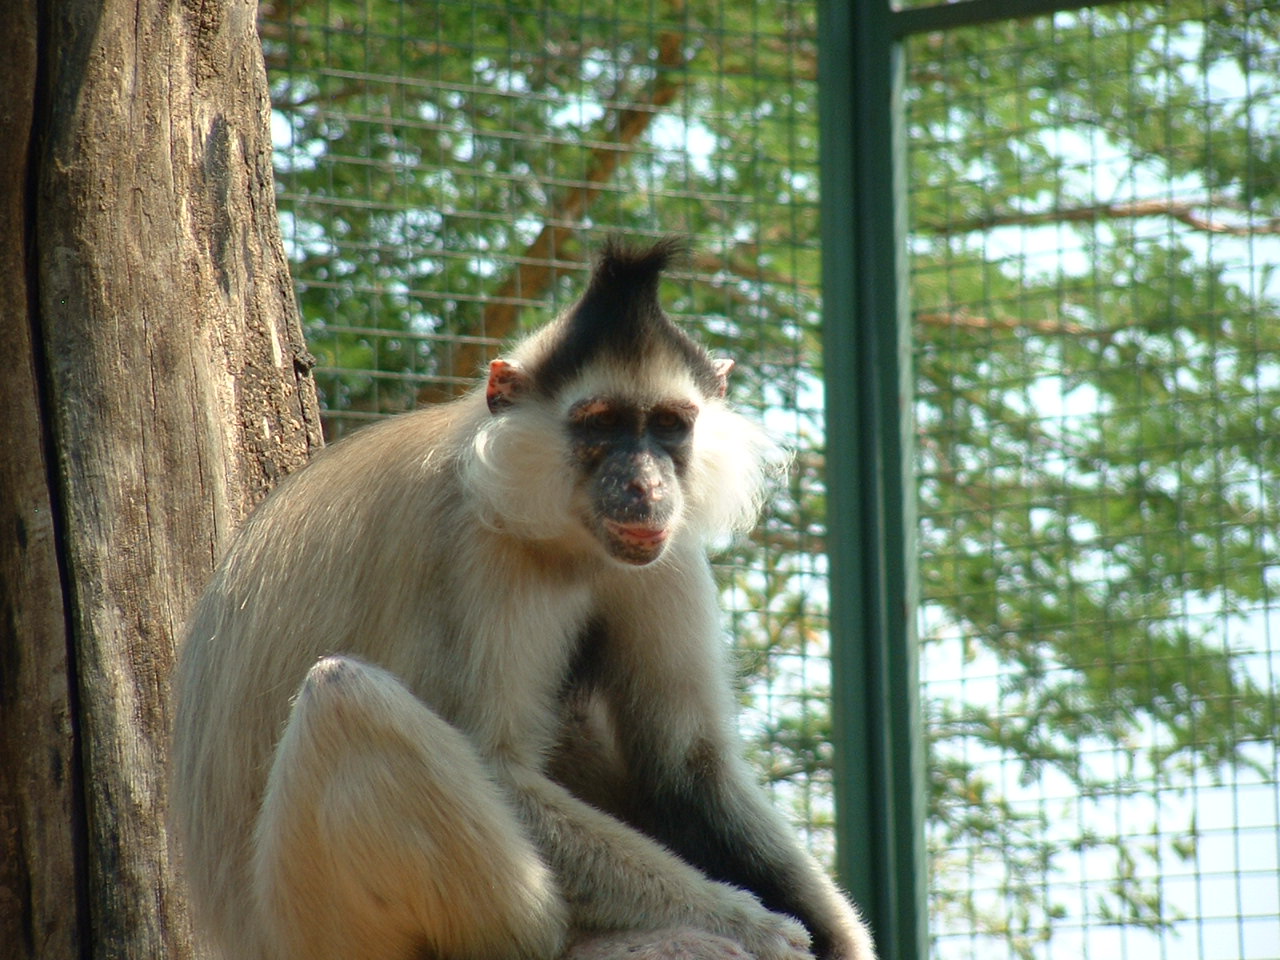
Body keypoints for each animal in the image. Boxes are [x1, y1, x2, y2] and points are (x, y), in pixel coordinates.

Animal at [170, 237, 876, 960]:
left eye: (669, 427)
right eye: (601, 425)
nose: (645, 485)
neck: (566, 537)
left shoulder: (663, 549)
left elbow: (686, 766)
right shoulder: (473, 547)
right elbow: (501, 767)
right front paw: (753, 926)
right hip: (311, 920)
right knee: (343, 697)